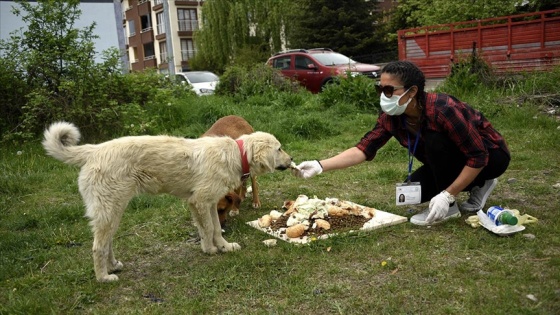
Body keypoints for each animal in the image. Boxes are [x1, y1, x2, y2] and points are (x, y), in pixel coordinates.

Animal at [42, 122, 294, 282]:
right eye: (279, 148)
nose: (292, 159)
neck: (234, 154)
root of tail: (93, 150)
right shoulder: (200, 202)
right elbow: (208, 229)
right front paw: (210, 250)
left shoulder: (208, 204)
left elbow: (215, 229)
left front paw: (223, 246)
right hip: (109, 210)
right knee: (98, 247)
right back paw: (103, 277)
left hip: (113, 211)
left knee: (107, 243)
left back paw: (113, 265)